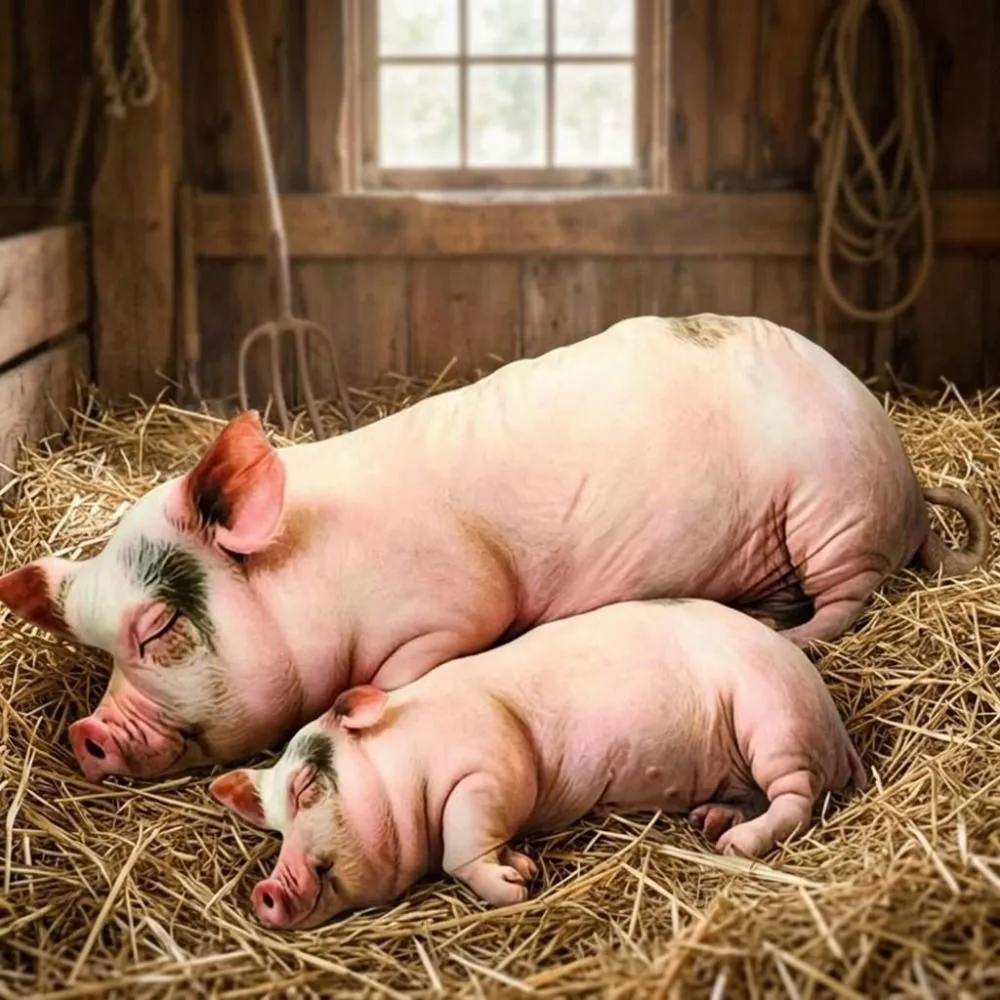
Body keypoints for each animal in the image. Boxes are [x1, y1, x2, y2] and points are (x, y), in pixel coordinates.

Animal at [0, 314, 988, 782]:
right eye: (93, 648)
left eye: (159, 630)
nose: (88, 732)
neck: (321, 572)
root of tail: (910, 486)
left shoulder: (454, 607)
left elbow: (412, 671)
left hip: (837, 514)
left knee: (850, 597)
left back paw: (794, 635)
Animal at [209, 598, 867, 929]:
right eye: (274, 827)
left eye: (305, 788)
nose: (264, 891)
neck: (406, 761)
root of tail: (836, 728)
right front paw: (523, 867)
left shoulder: (492, 764)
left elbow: (462, 844)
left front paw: (515, 885)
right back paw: (711, 822)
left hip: (774, 719)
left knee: (795, 798)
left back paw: (734, 845)